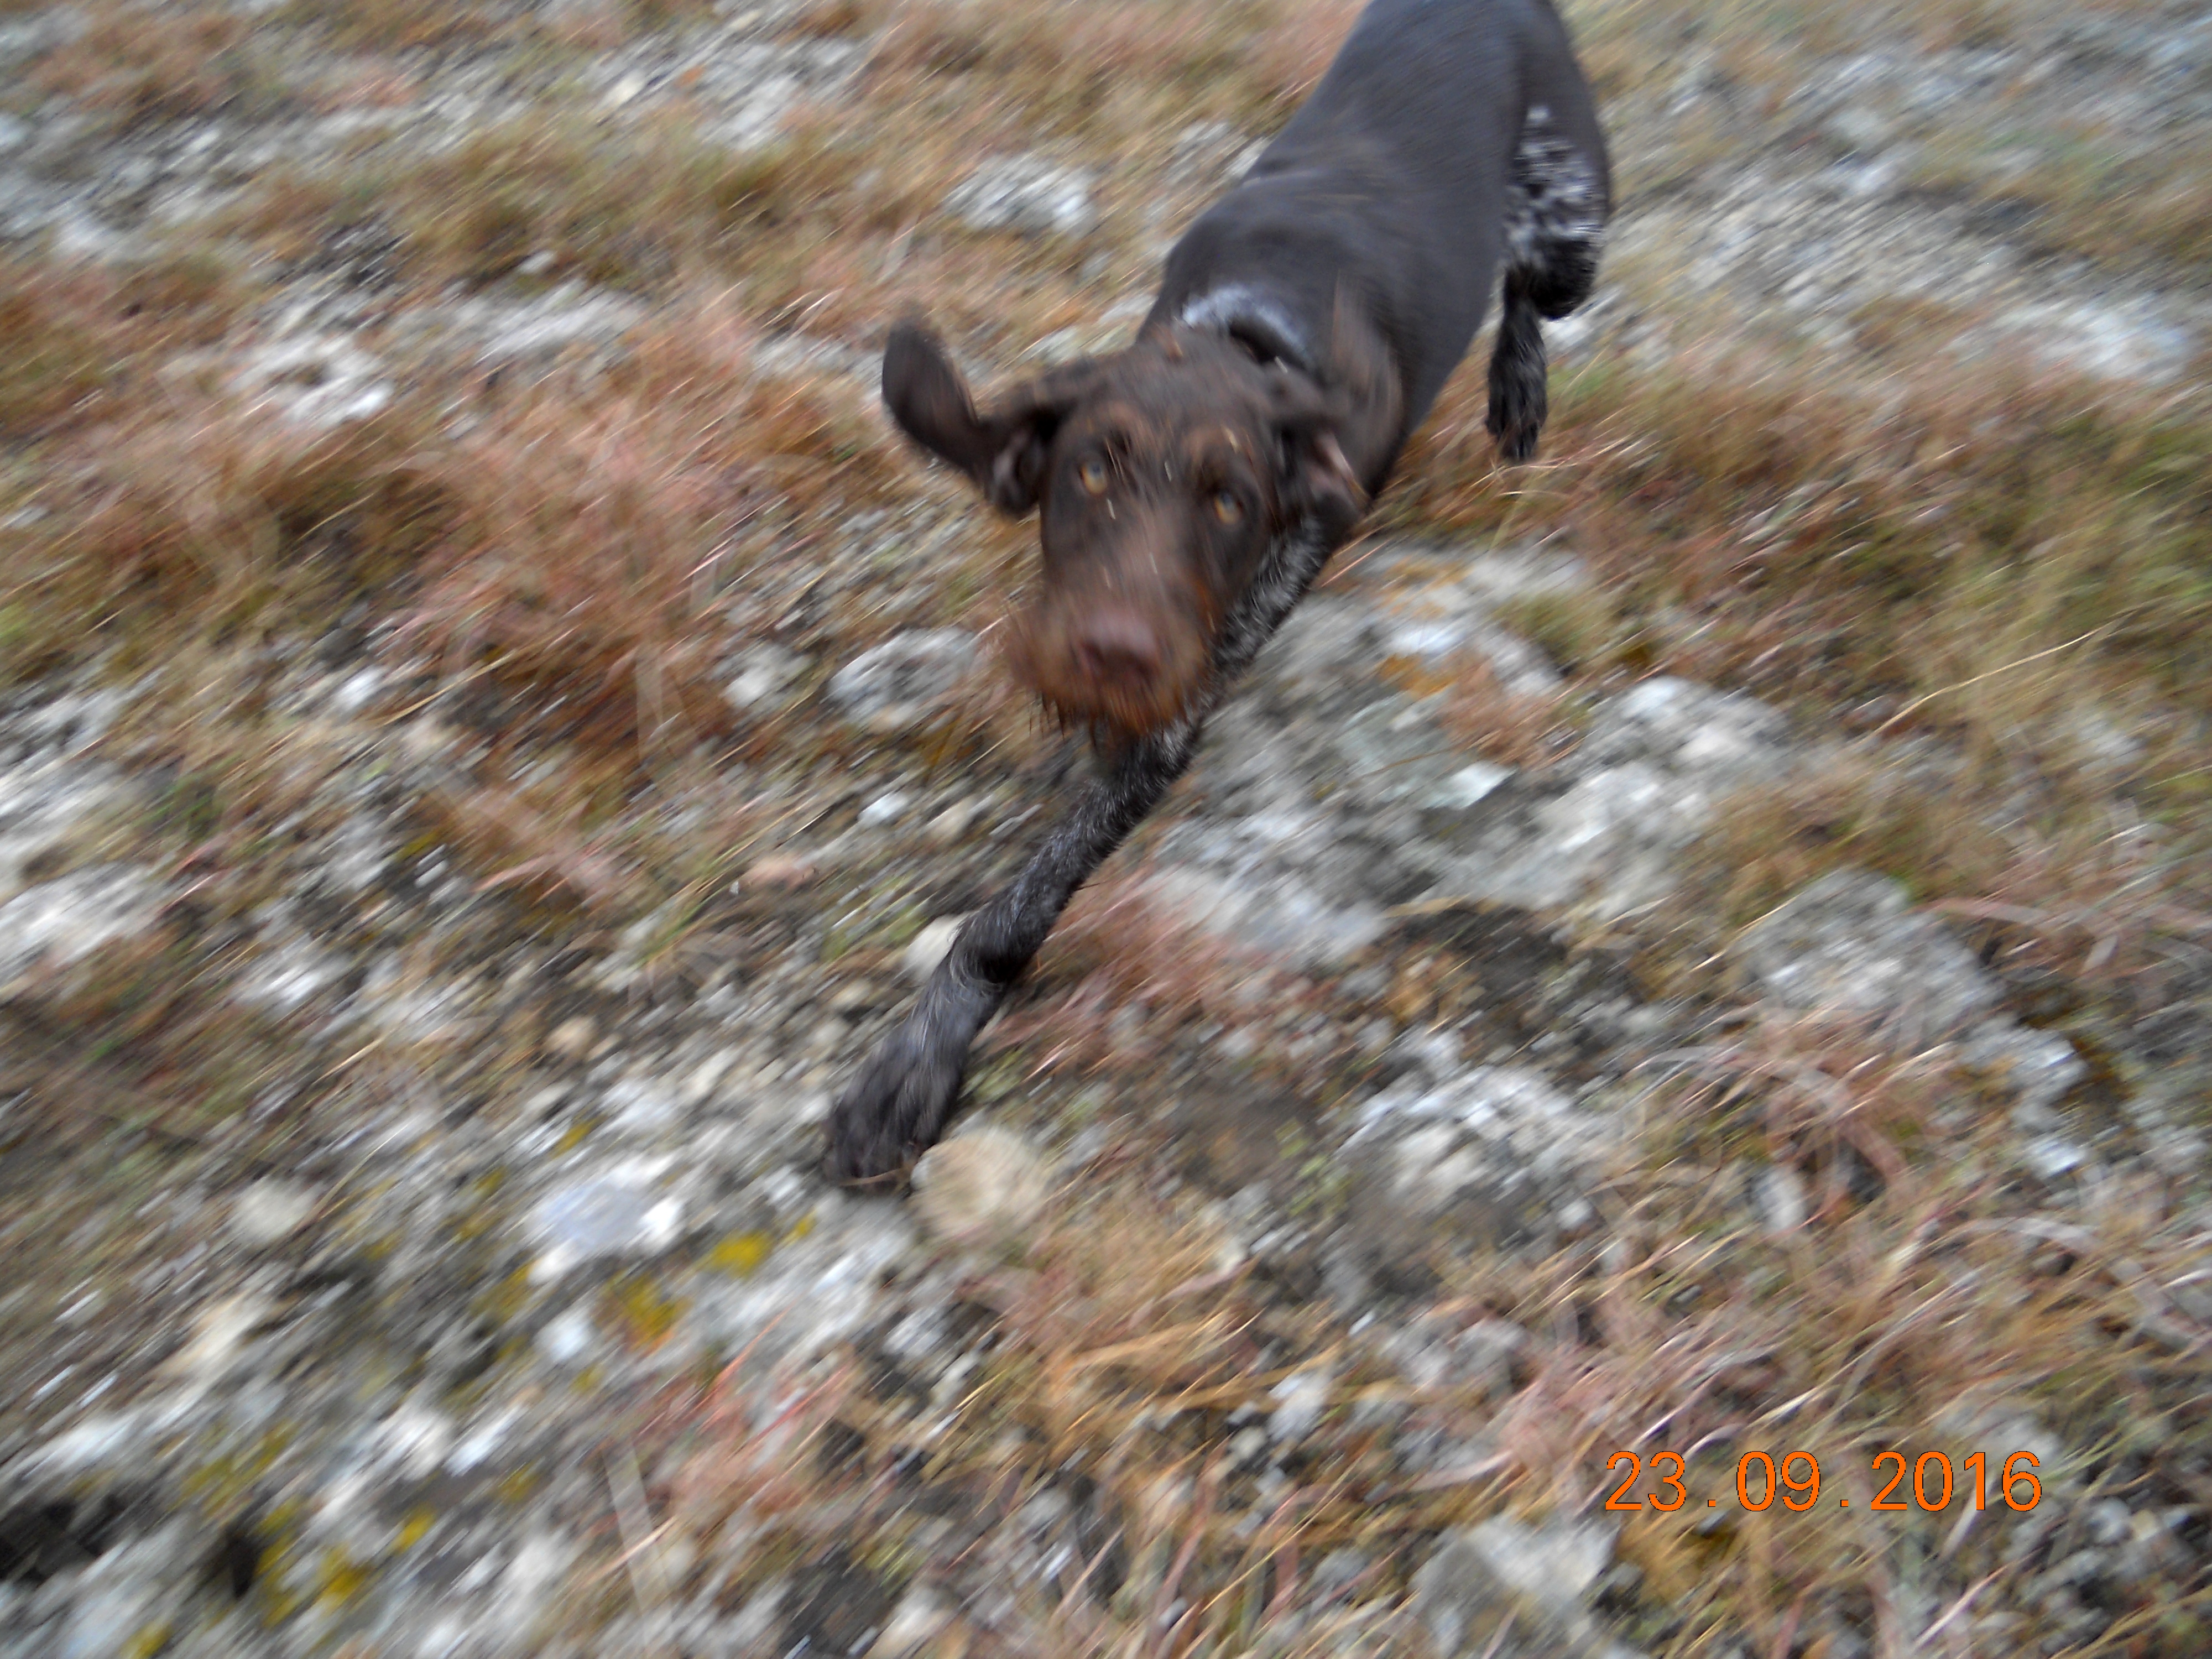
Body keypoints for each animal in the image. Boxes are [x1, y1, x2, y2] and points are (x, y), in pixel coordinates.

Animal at [826, 0, 1610, 1183]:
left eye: (1234, 501)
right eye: (1088, 471)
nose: (1112, 652)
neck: (1248, 338)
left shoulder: (1181, 706)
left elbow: (1017, 909)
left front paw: (917, 1060)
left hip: (1574, 229)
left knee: (1532, 288)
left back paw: (1518, 386)